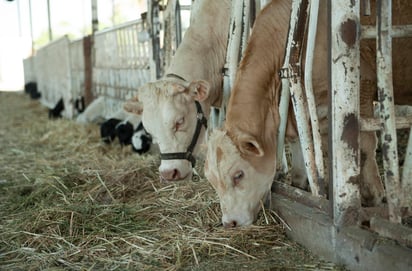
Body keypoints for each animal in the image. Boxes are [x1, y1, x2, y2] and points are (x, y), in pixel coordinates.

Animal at [205, 0, 412, 228]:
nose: (229, 222)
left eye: (238, 175)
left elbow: (364, 144)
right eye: (212, 180)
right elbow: (304, 146)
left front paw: (372, 195)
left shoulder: (362, 87)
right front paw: (305, 186)